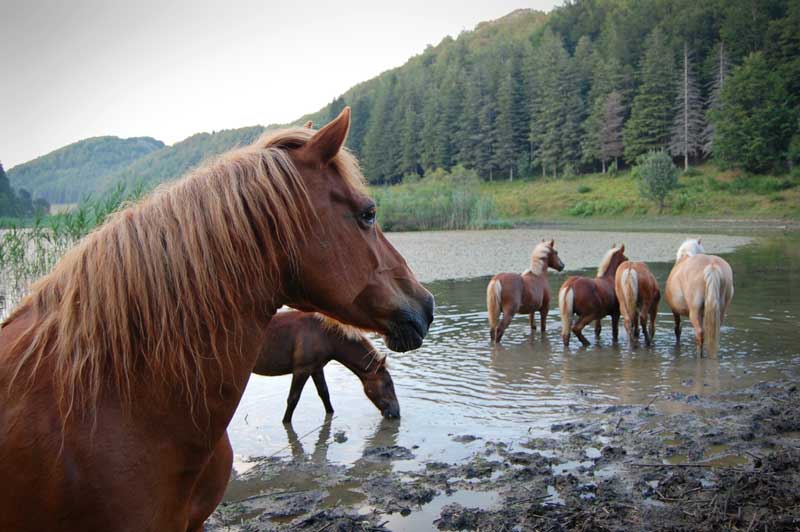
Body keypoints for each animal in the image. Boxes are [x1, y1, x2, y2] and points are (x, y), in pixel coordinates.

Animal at [253, 310, 400, 422]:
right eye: (387, 383)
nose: (396, 412)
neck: (325, 336)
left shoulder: (316, 368)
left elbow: (324, 393)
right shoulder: (302, 370)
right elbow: (293, 399)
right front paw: (285, 422)